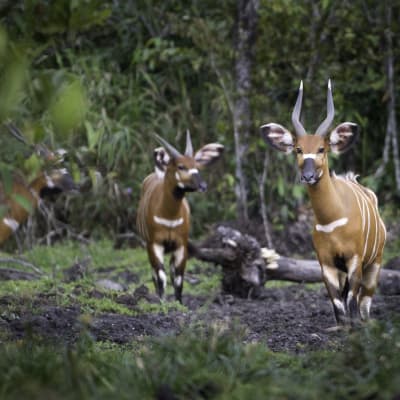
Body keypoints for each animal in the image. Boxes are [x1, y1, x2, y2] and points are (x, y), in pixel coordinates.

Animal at [137, 131, 225, 304]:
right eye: (181, 166)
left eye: (197, 166)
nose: (203, 186)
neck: (169, 217)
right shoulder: (154, 244)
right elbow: (161, 276)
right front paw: (163, 303)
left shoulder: (180, 245)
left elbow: (178, 278)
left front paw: (179, 304)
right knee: (155, 273)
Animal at [260, 80, 386, 324]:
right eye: (298, 149)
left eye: (322, 149)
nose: (308, 176)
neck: (332, 219)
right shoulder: (326, 263)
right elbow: (338, 306)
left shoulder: (354, 259)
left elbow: (352, 302)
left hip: (375, 262)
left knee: (365, 302)